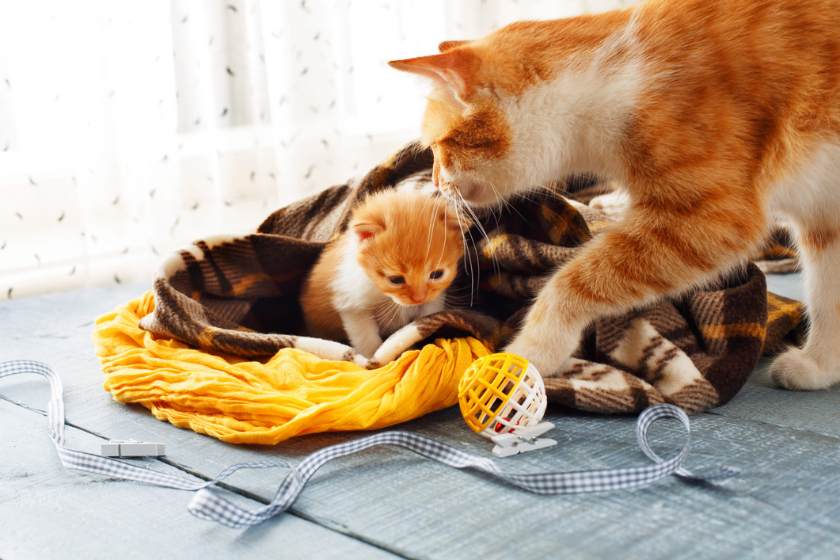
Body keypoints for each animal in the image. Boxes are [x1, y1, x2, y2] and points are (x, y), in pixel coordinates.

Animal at [300, 189, 472, 358]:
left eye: (437, 275)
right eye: (396, 279)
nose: (418, 298)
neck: (386, 296)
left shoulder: (433, 299)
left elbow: (424, 317)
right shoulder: (353, 307)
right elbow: (367, 339)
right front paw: (374, 360)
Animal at [390, 0, 840, 392]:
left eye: (438, 147)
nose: (435, 183)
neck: (616, 77)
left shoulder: (713, 217)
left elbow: (570, 283)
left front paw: (529, 353)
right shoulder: (824, 218)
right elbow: (826, 295)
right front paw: (820, 366)